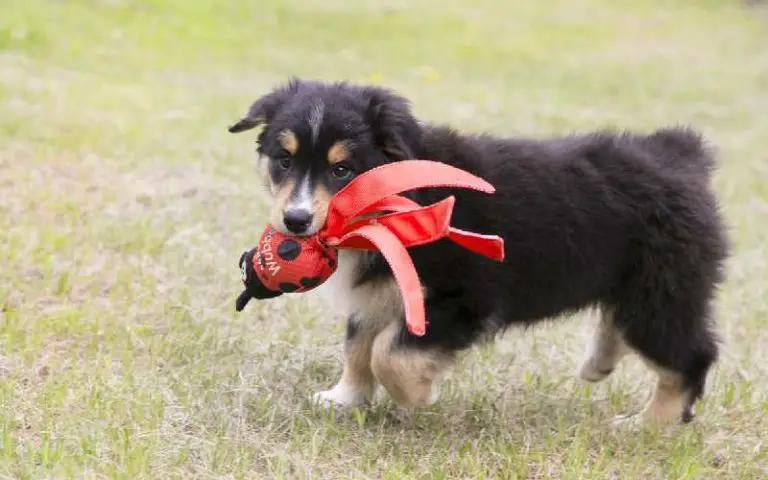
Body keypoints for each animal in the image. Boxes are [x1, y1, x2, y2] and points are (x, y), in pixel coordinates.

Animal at [228, 79, 728, 428]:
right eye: (284, 160)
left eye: (342, 169)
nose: (295, 221)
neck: (402, 196)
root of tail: (681, 154)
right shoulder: (379, 293)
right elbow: (358, 345)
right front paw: (344, 399)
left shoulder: (464, 299)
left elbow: (390, 354)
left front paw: (416, 397)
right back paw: (599, 364)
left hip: (662, 288)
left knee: (691, 356)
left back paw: (648, 425)